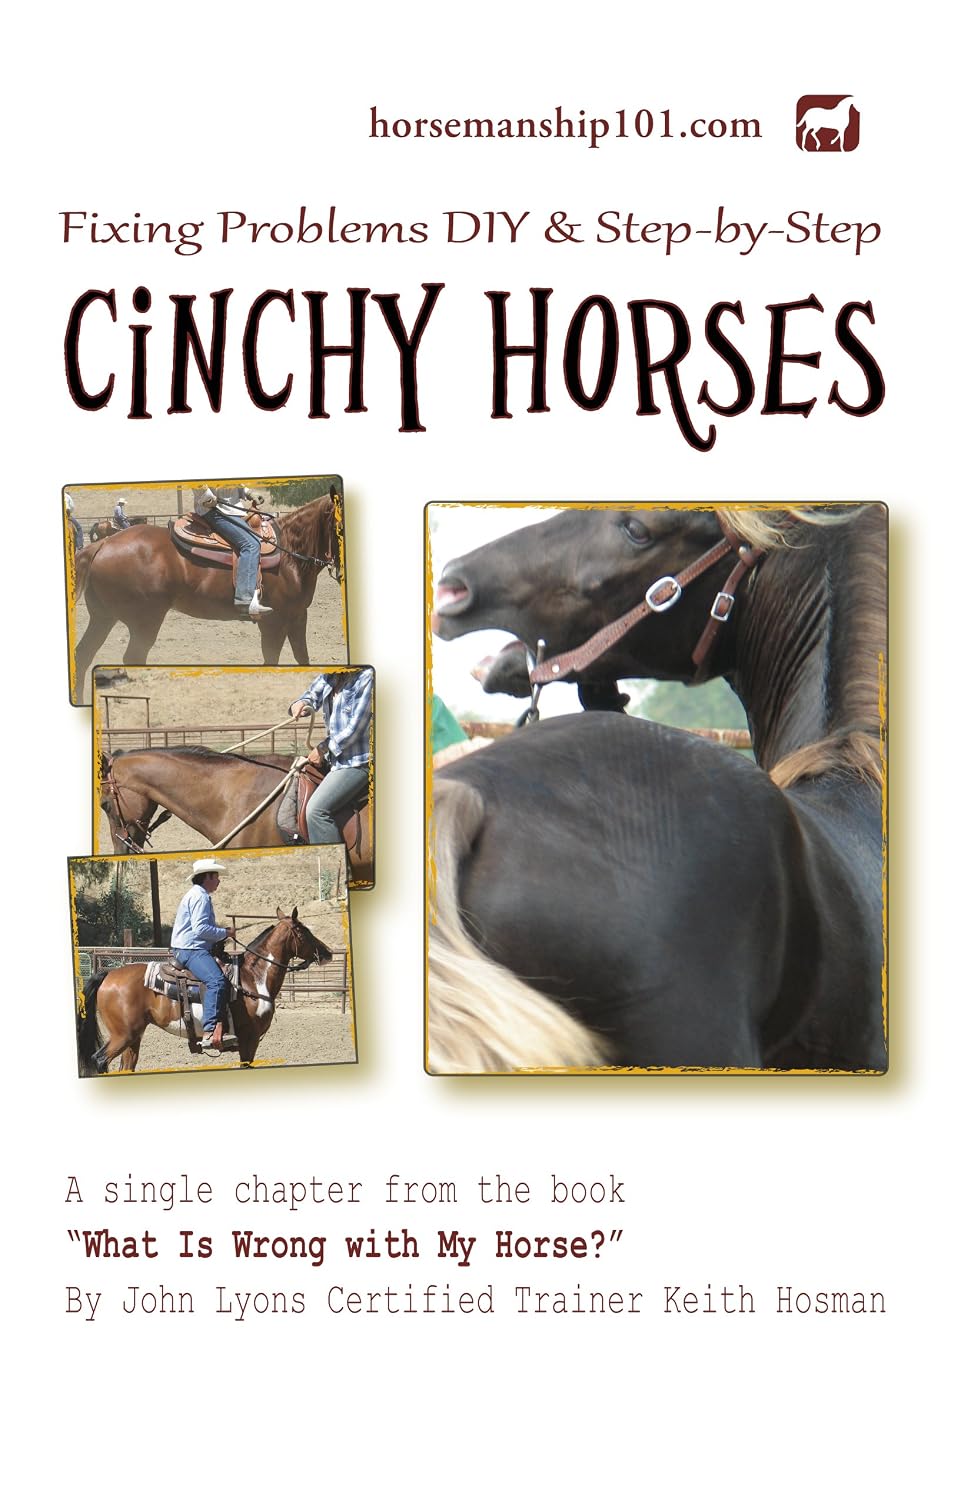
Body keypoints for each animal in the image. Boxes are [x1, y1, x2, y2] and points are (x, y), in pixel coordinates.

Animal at [73, 489, 342, 697]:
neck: (289, 555)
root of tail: (102, 544)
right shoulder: (273, 622)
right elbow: (271, 659)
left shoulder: (298, 617)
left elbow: (302, 657)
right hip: (144, 622)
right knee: (132, 657)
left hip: (103, 617)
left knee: (83, 655)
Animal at [77, 908, 332, 1073]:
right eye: (304, 931)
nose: (328, 952)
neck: (253, 978)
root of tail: (109, 974)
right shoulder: (249, 1040)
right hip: (123, 1036)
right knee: (99, 1060)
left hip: (134, 1038)